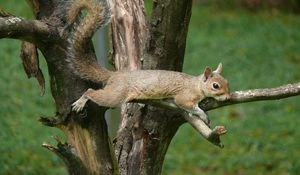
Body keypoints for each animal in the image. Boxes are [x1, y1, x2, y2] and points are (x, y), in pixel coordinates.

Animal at [67, 0, 230, 124]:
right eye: (215, 85)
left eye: (227, 82)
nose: (228, 97)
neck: (196, 85)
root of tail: (115, 76)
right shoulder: (184, 96)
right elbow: (187, 105)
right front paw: (202, 114)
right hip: (116, 94)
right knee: (92, 92)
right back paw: (81, 101)